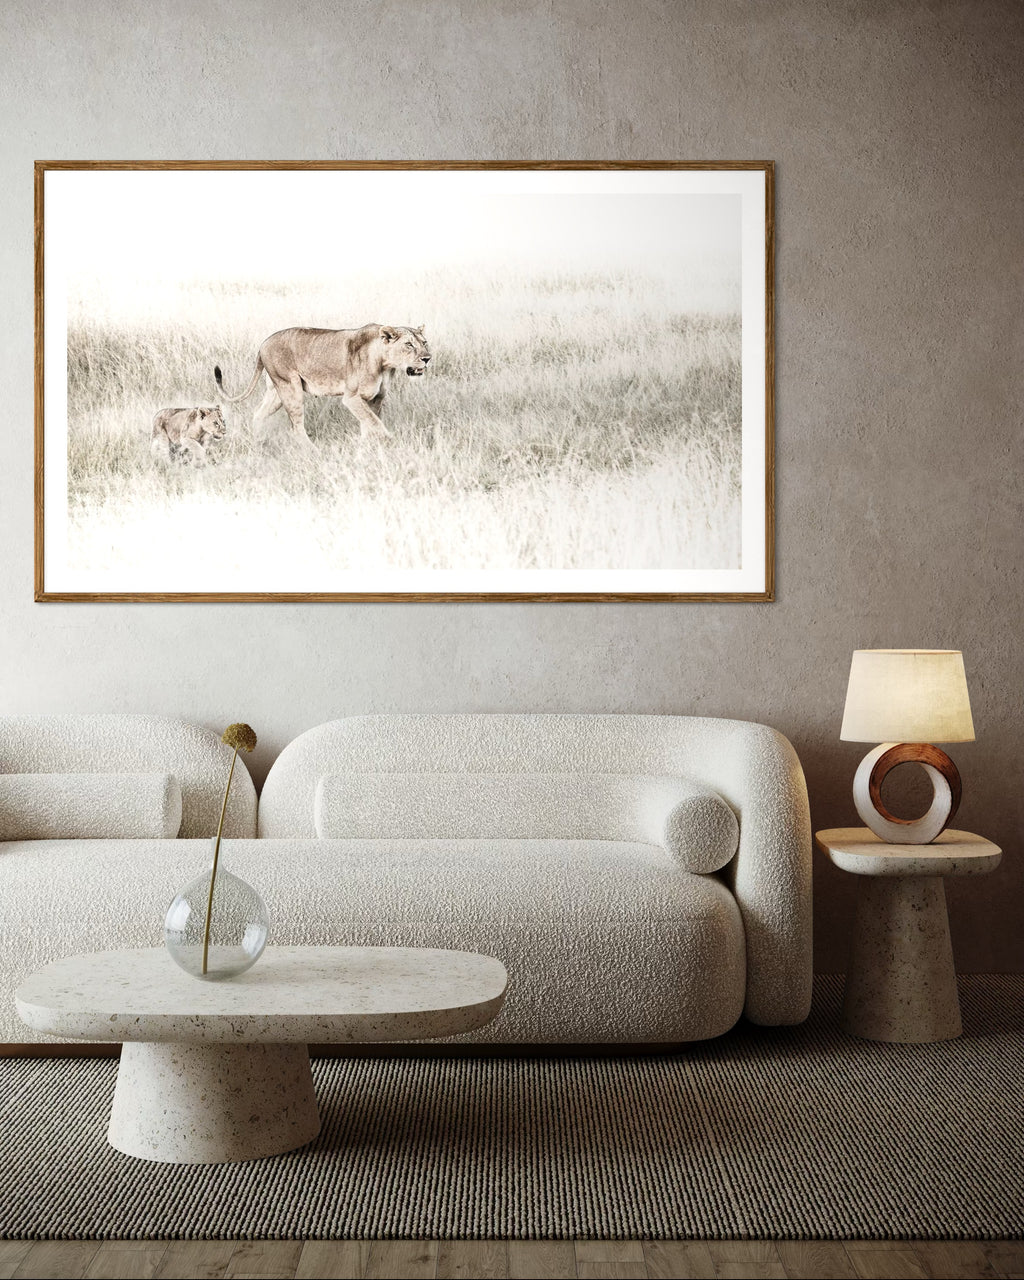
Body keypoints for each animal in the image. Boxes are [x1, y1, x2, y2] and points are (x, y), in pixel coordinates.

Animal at [214, 324, 430, 447]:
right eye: (409, 344)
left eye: (425, 342)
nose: (427, 358)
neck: (384, 363)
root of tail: (263, 344)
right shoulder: (352, 398)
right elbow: (375, 423)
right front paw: (392, 442)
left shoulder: (375, 398)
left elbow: (369, 423)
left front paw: (366, 447)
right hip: (291, 388)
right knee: (296, 427)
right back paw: (313, 451)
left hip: (276, 391)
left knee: (258, 414)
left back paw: (258, 442)